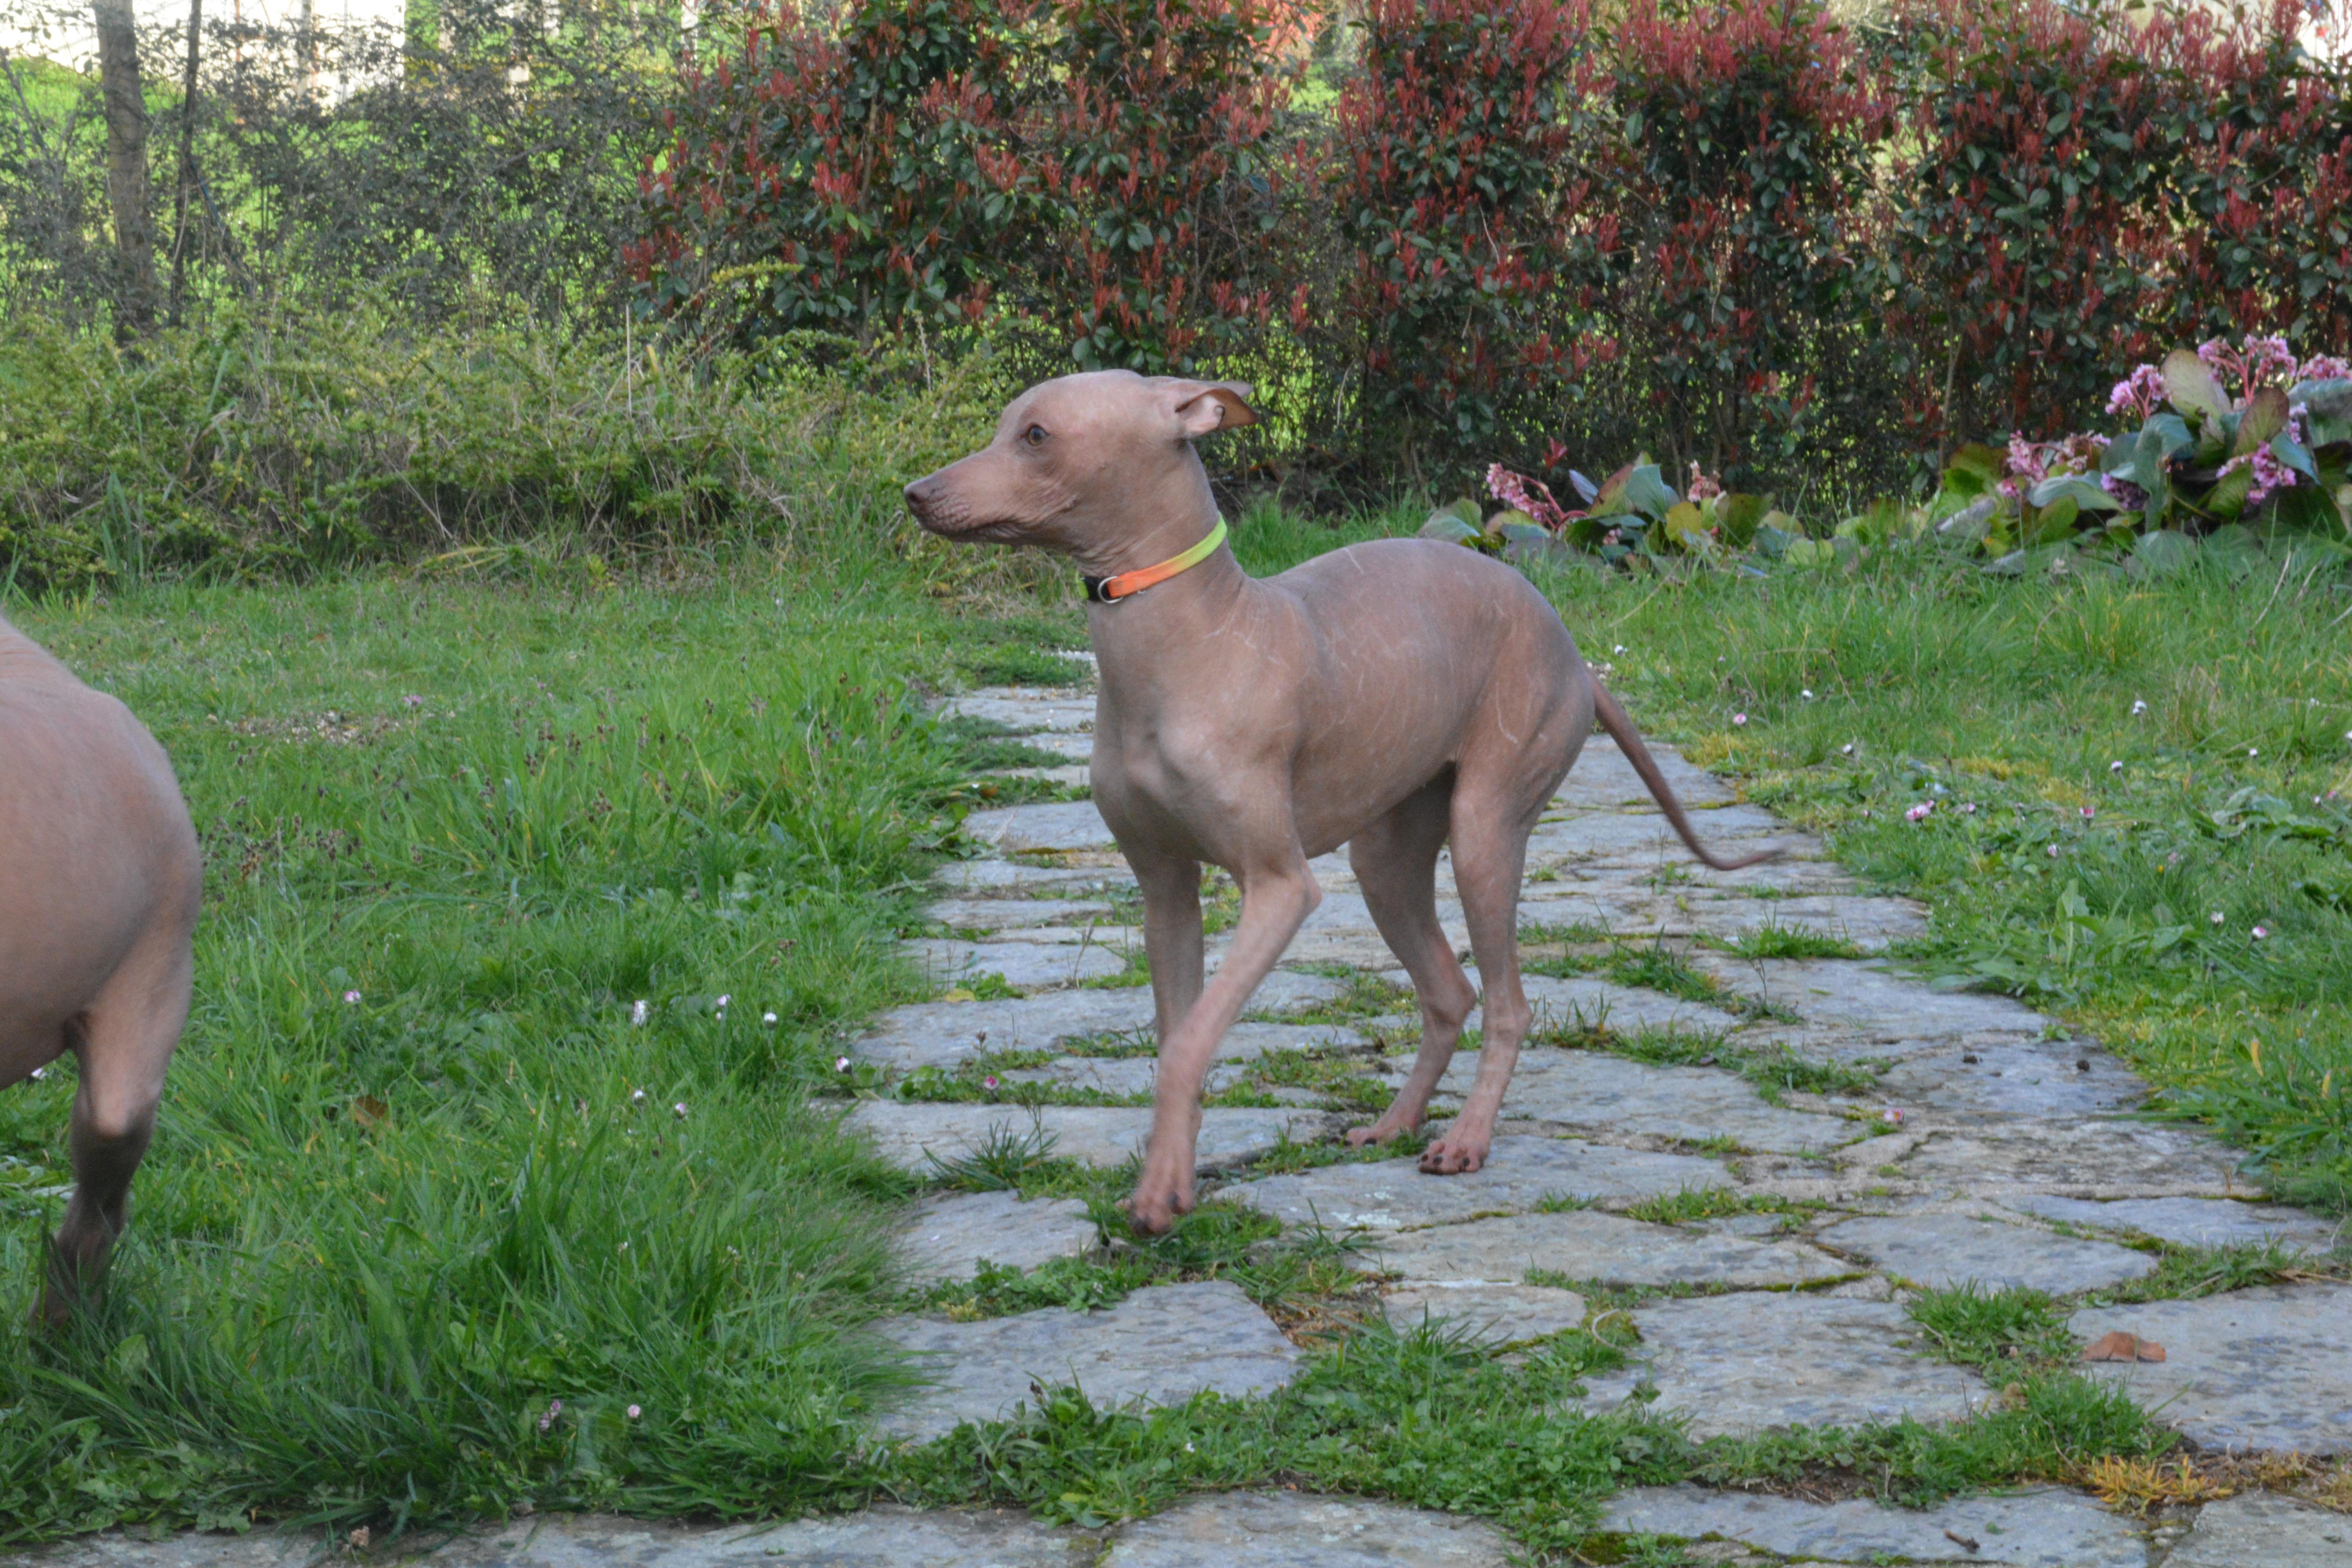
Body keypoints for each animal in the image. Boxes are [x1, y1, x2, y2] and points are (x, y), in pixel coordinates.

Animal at [904, 371, 1770, 1233]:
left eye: (1037, 436)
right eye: (1007, 426)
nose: (915, 493)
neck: (1189, 644)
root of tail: (1578, 657)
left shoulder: (1280, 888)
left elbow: (1188, 1043)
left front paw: (1158, 1194)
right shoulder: (1166, 892)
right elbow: (1179, 1038)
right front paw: (1170, 1182)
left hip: (1485, 830)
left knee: (1509, 1003)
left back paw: (1466, 1139)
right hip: (1387, 858)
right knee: (1449, 991)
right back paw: (1395, 1122)